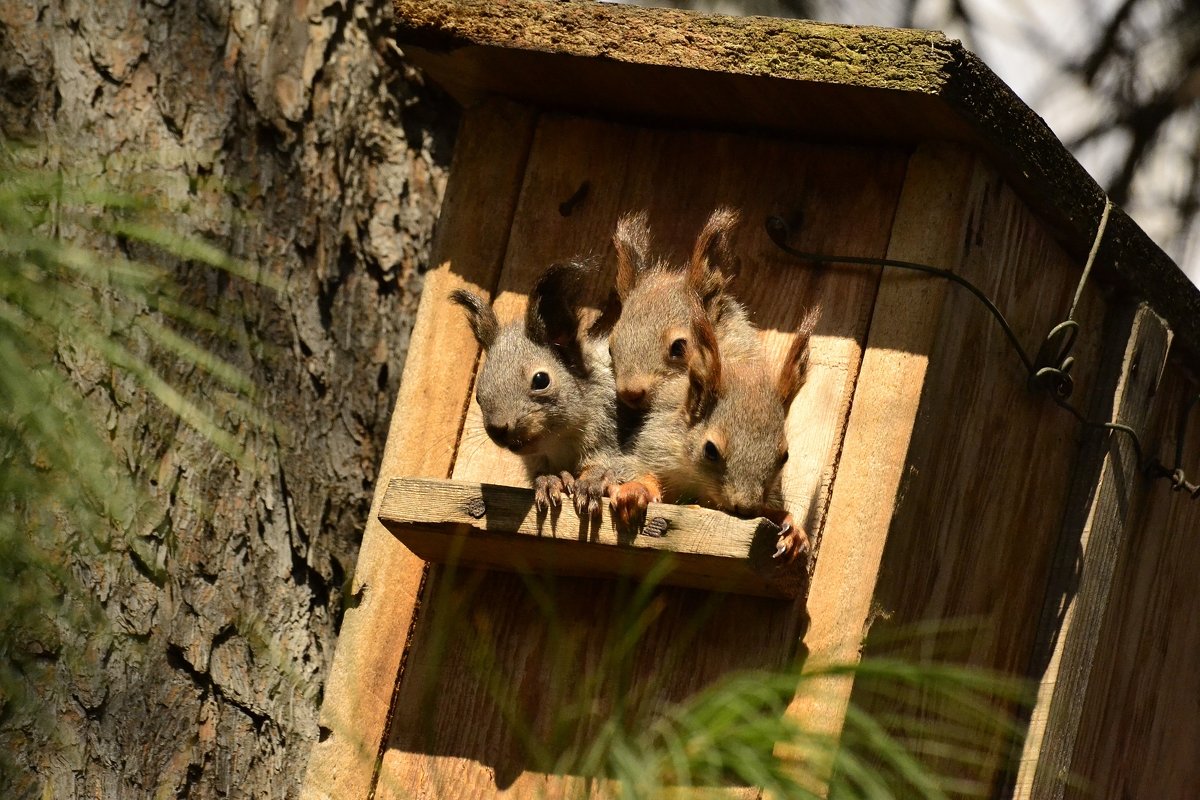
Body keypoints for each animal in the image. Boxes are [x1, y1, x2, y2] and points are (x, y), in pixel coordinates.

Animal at [448, 262, 619, 513]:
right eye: (478, 396)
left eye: (541, 380)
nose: (497, 429)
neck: (558, 440)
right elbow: (541, 474)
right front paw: (548, 481)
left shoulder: (609, 430)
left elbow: (605, 462)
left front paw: (591, 481)